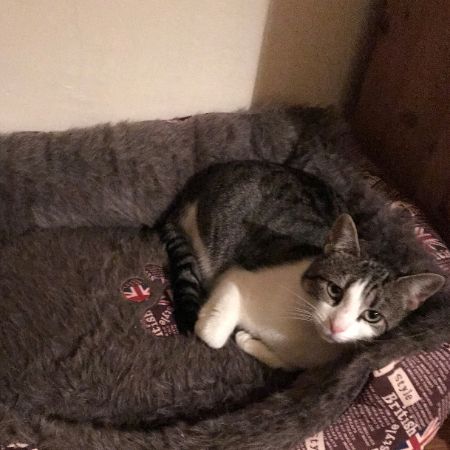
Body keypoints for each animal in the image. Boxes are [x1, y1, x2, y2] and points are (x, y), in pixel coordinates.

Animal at [160, 160, 445, 370]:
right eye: (334, 290)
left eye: (372, 315)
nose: (336, 326)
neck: (302, 330)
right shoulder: (236, 276)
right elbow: (213, 334)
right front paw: (210, 321)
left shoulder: (307, 362)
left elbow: (286, 363)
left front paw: (247, 340)